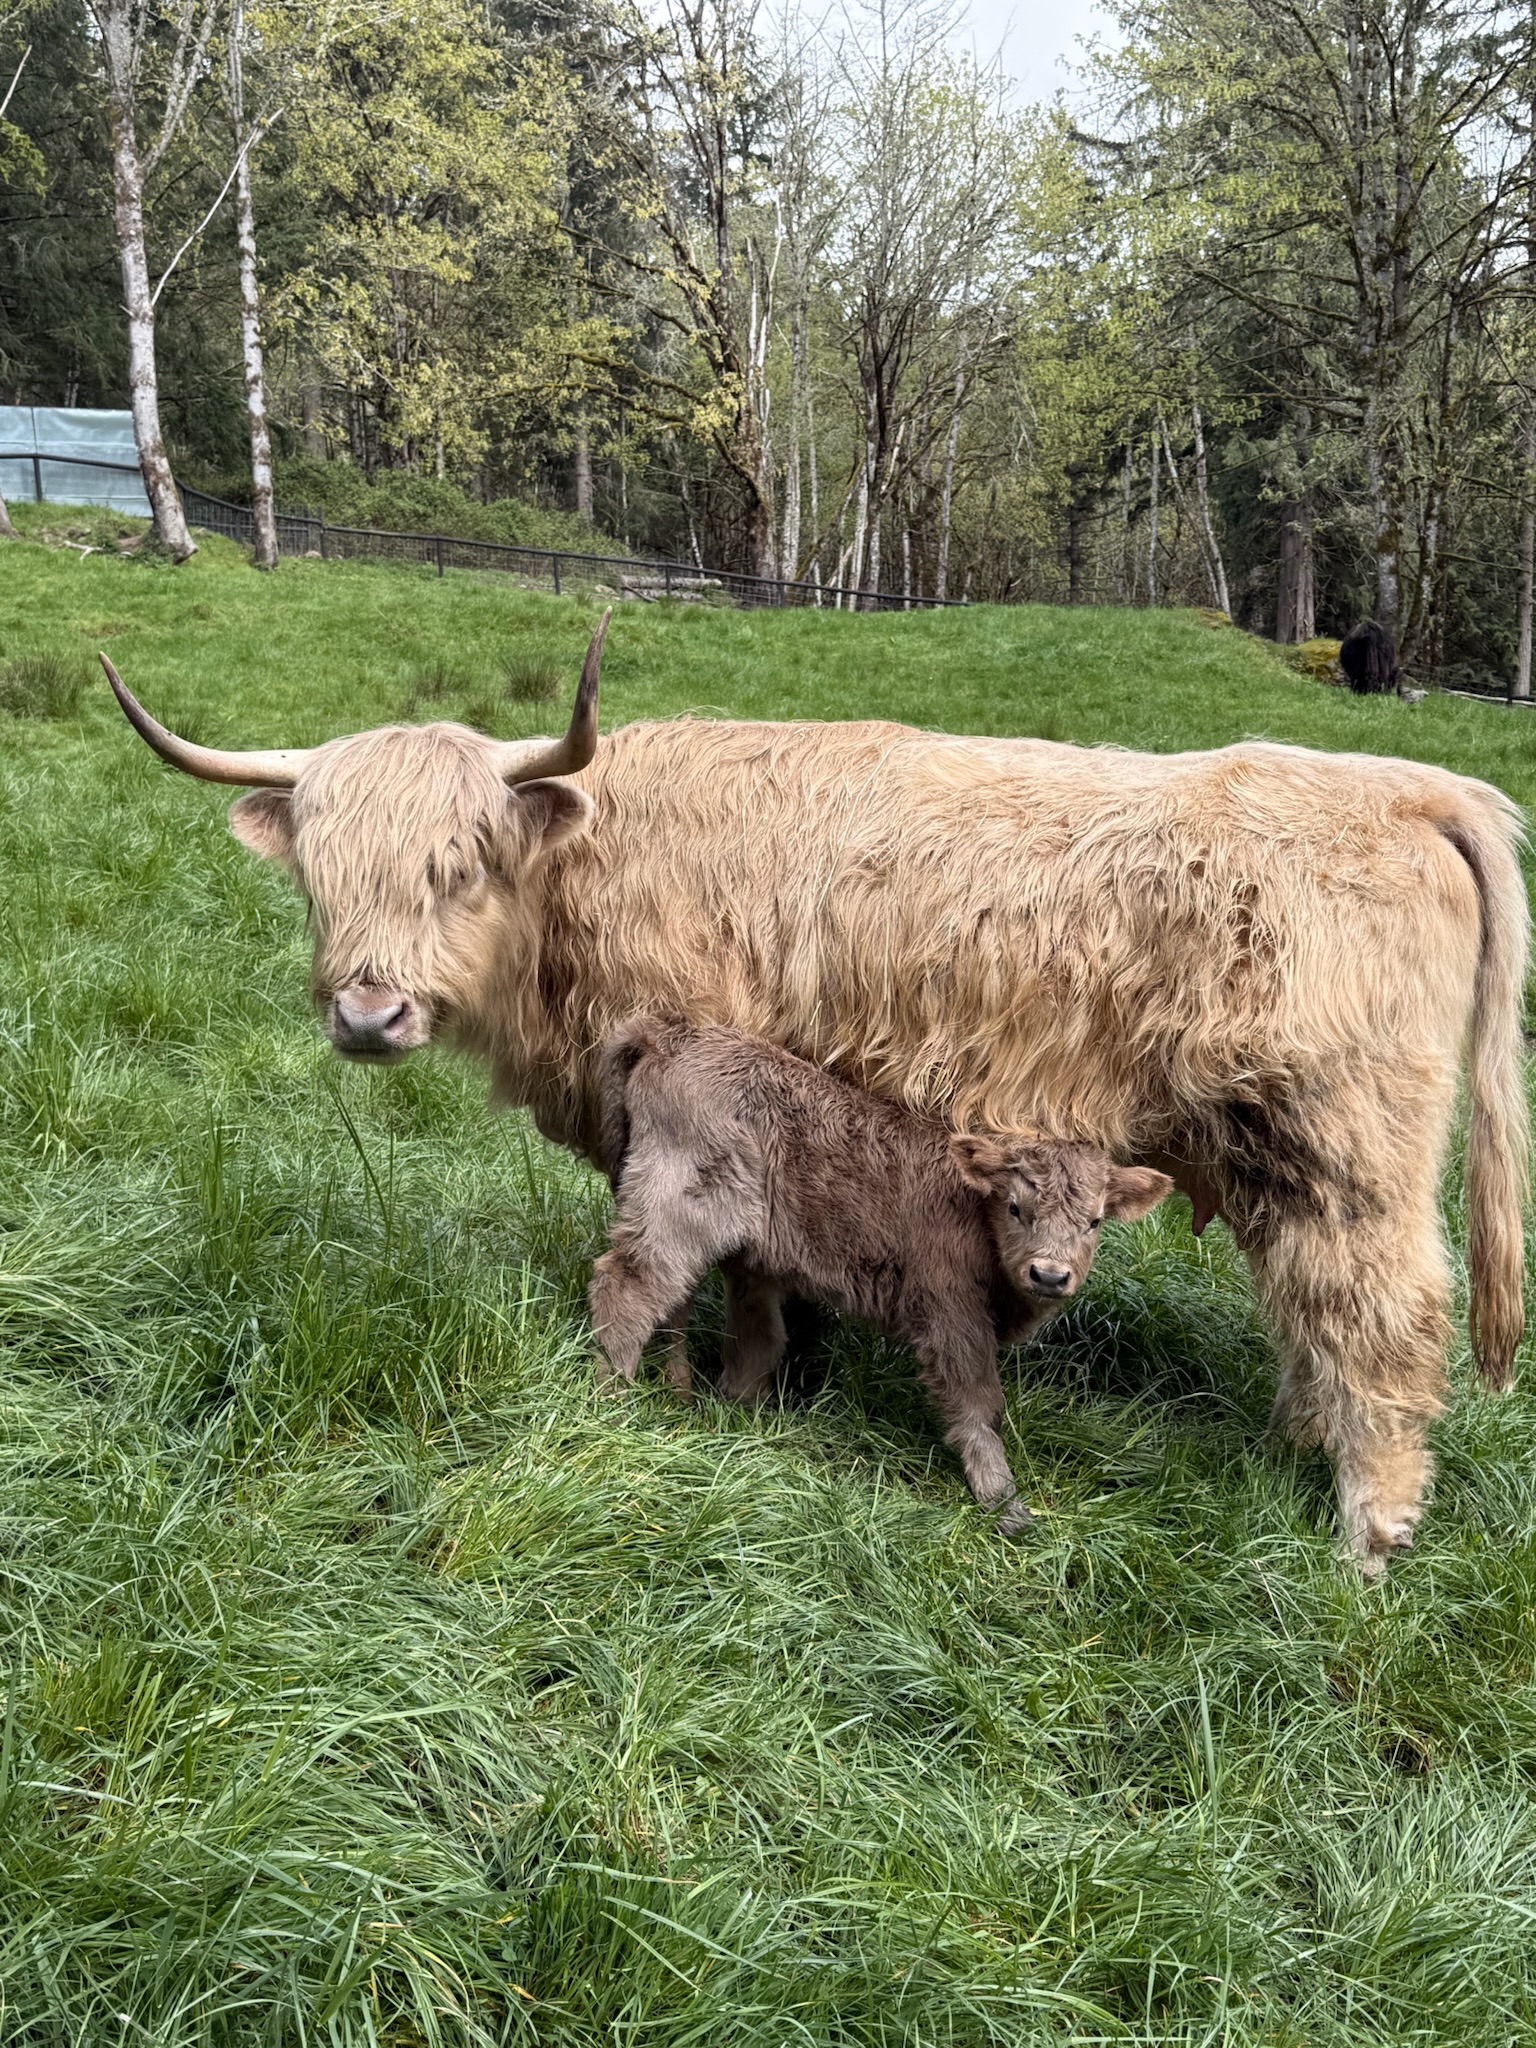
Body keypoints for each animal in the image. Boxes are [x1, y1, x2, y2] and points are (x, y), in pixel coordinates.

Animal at [589, 1014, 1173, 1535]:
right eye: (1015, 1208)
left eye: (1094, 1221)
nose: (1049, 1275)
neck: (971, 1209)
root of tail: (673, 1033)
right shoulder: (951, 1317)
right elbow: (978, 1403)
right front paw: (1005, 1506)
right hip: (681, 1211)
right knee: (627, 1285)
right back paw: (614, 1401)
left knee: (711, 1317)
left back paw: (713, 1407)